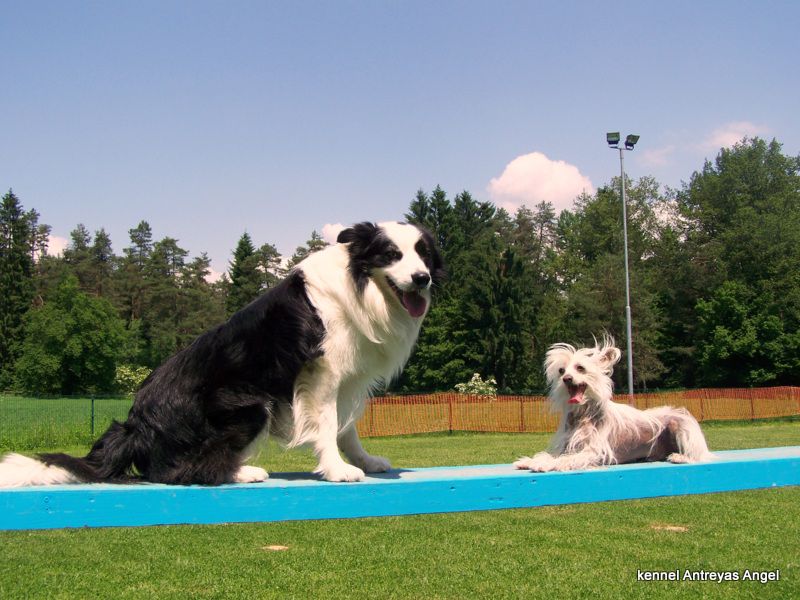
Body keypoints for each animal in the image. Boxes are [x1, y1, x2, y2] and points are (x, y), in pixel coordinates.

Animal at [516, 338, 716, 474]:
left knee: (697, 456)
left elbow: (567, 459)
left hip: (681, 427)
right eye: (561, 370)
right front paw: (530, 460)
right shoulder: (566, 445)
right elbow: (552, 454)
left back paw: (680, 456)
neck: (583, 414)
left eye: (580, 368)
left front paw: (545, 464)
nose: (566, 379)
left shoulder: (593, 451)